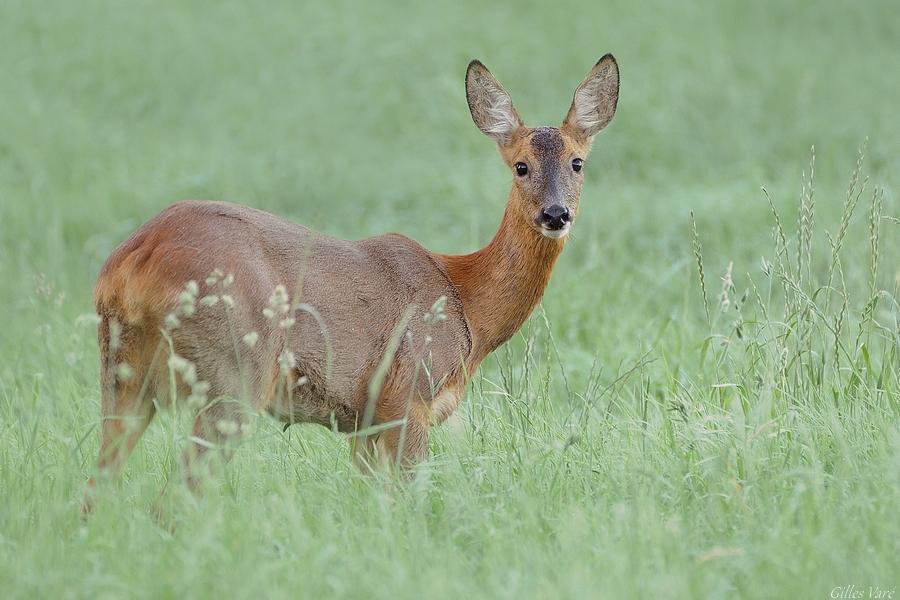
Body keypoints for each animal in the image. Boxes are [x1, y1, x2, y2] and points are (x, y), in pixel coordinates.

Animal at [84, 54, 620, 508]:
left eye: (577, 162)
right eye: (521, 166)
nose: (556, 214)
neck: (466, 303)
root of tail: (132, 261)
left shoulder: (365, 422)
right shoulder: (409, 394)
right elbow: (411, 499)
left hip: (123, 370)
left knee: (96, 488)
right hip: (233, 368)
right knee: (171, 499)